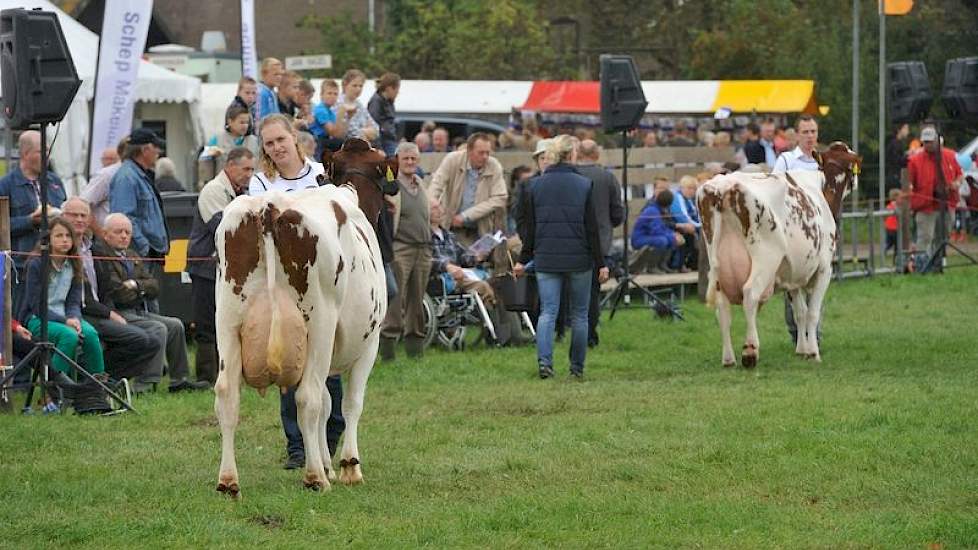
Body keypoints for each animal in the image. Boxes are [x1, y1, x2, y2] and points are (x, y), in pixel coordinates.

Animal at [214, 140, 396, 498]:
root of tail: (269, 206)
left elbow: (328, 404)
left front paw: (328, 463)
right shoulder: (369, 343)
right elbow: (349, 403)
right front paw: (348, 466)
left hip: (227, 319)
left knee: (227, 393)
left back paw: (228, 481)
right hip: (320, 323)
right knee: (307, 398)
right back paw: (314, 478)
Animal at [692, 142, 860, 368]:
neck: (822, 190)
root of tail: (722, 186)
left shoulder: (793, 274)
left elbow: (800, 313)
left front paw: (802, 350)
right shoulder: (824, 269)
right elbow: (812, 313)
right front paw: (813, 352)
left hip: (716, 264)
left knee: (722, 306)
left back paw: (728, 358)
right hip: (766, 258)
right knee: (750, 294)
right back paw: (750, 351)